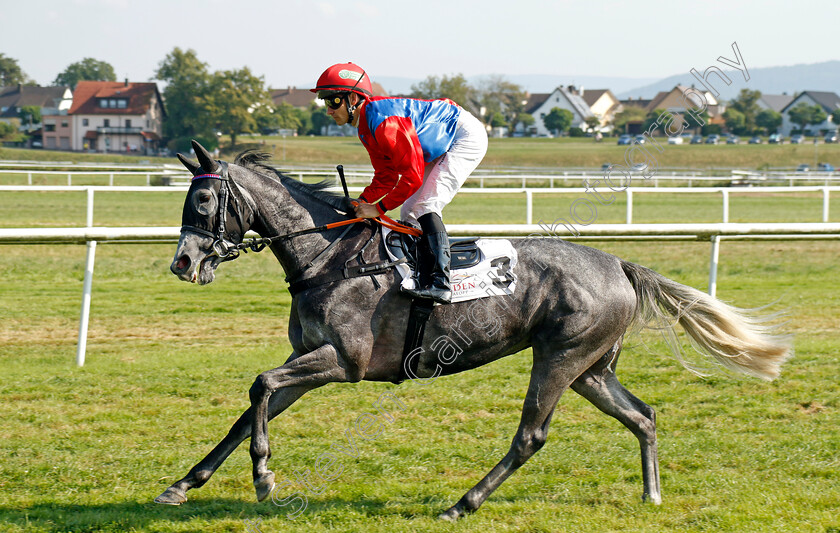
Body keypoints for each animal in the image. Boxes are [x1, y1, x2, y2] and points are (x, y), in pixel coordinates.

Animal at [156, 140, 788, 520]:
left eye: (204, 199)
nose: (183, 263)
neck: (327, 258)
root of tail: (619, 264)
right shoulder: (309, 361)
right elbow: (249, 410)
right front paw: (183, 484)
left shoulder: (344, 362)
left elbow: (260, 385)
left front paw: (264, 477)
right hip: (590, 369)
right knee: (643, 415)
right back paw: (651, 493)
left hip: (558, 358)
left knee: (531, 436)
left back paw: (463, 503)